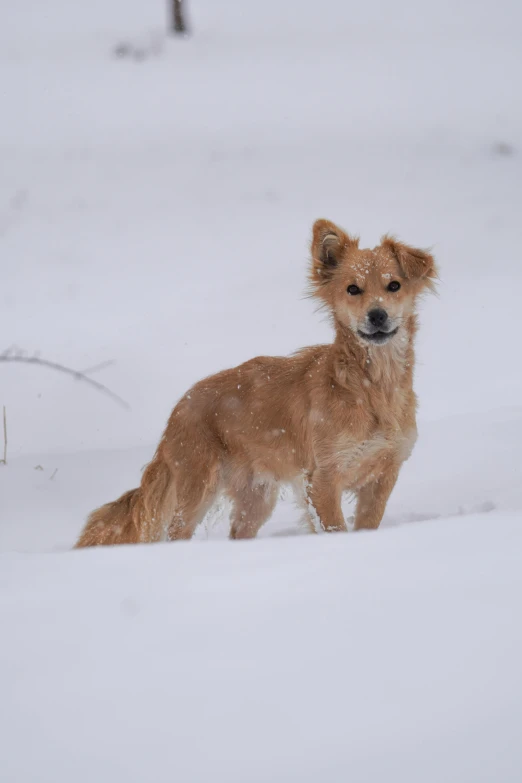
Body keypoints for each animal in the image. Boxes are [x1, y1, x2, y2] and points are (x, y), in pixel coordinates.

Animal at [76, 220, 434, 548]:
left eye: (394, 286)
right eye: (352, 289)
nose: (377, 315)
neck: (372, 387)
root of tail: (180, 407)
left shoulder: (383, 476)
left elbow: (367, 524)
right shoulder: (322, 479)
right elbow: (334, 528)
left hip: (256, 497)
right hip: (197, 487)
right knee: (176, 533)